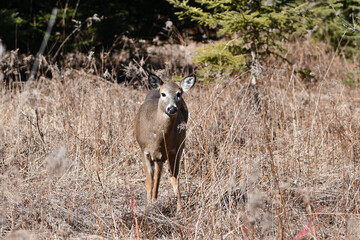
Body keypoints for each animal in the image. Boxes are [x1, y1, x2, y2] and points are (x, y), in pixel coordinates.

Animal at [135, 73, 197, 212]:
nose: (172, 108)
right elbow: (149, 180)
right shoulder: (144, 151)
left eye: (179, 93)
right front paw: (147, 207)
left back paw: (155, 199)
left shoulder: (174, 151)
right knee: (155, 176)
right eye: (163, 94)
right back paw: (152, 200)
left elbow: (174, 178)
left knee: (160, 174)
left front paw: (180, 209)